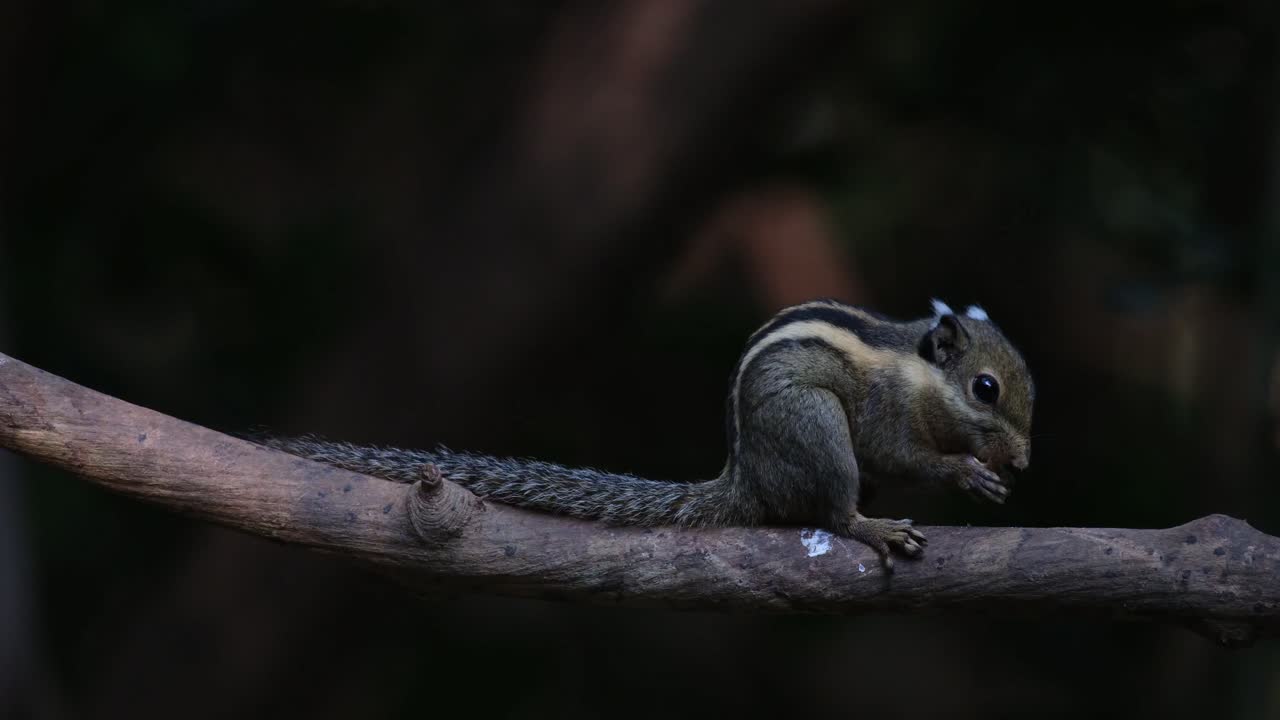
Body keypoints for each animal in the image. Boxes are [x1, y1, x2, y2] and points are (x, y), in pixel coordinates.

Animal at [253, 298, 1034, 569]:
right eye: (985, 389)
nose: (1026, 461)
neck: (919, 374)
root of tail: (746, 478)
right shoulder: (881, 414)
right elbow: (901, 454)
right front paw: (967, 471)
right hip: (814, 428)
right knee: (833, 511)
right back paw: (873, 526)